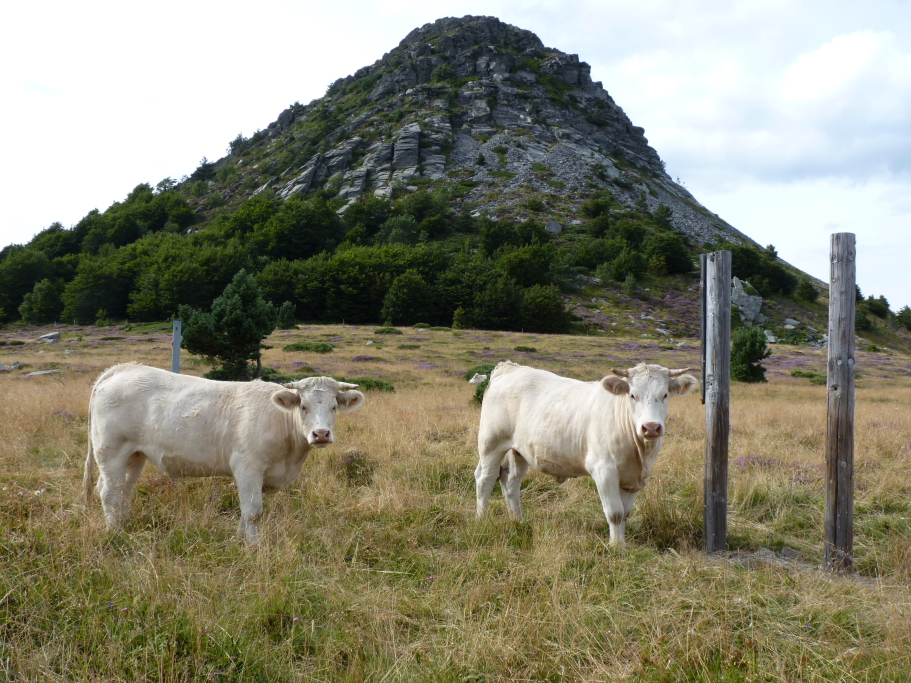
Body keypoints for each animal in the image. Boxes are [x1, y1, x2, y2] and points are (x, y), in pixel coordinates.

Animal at [84, 366, 364, 544]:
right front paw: (252, 546)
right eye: (303, 406)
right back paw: (115, 534)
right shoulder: (248, 468)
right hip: (111, 451)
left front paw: (239, 539)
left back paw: (123, 525)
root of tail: (124, 368)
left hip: (135, 454)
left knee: (124, 490)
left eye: (334, 407)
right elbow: (253, 511)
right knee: (109, 491)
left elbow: (245, 511)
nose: (321, 434)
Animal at [478, 364, 700, 544]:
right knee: (485, 479)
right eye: (632, 395)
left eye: (665, 395)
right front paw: (616, 547)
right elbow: (615, 513)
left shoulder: (634, 478)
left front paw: (621, 542)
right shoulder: (604, 470)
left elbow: (625, 513)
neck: (640, 453)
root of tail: (510, 367)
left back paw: (518, 521)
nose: (651, 427)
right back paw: (482, 519)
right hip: (491, 443)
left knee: (510, 481)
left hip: (520, 451)